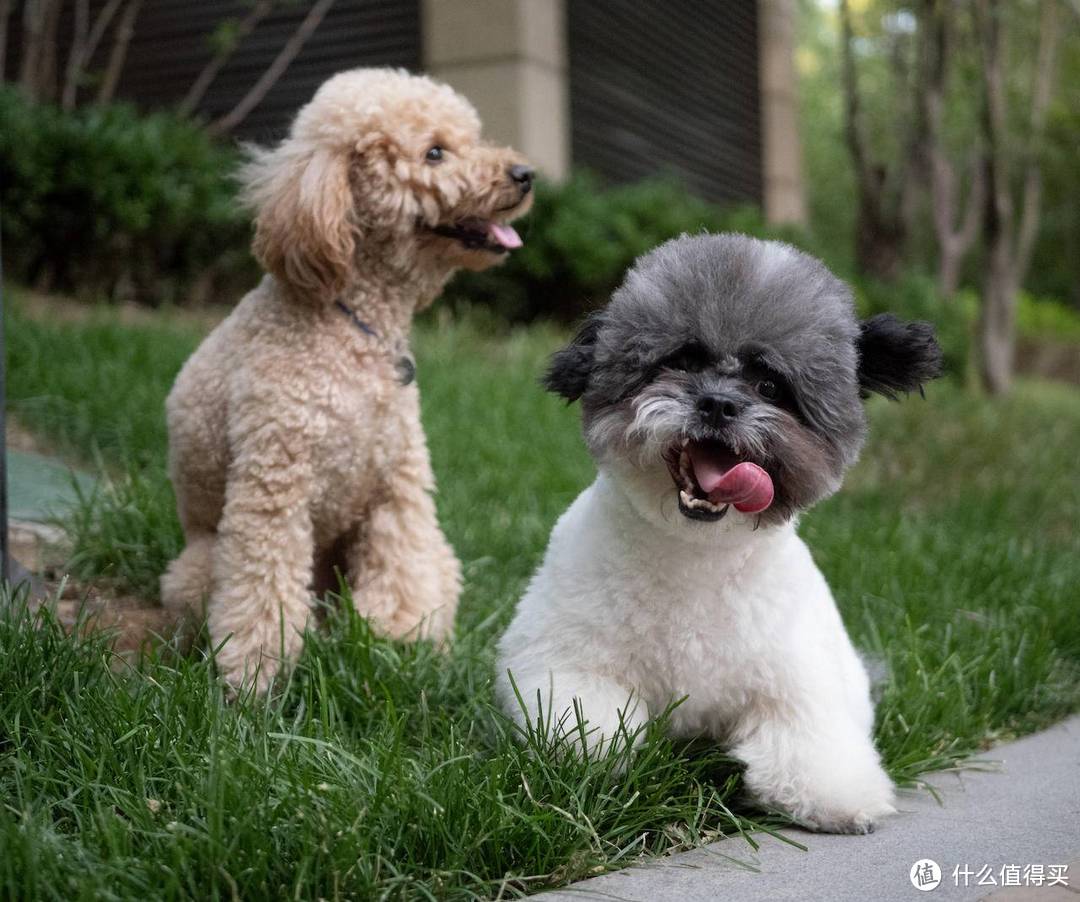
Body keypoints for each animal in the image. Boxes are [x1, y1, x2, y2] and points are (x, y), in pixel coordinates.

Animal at [494, 231, 941, 833]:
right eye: (683, 360)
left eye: (771, 385)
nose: (719, 403)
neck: (695, 555)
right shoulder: (560, 654)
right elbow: (587, 728)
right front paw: (594, 756)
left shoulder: (798, 679)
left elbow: (808, 739)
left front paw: (839, 797)